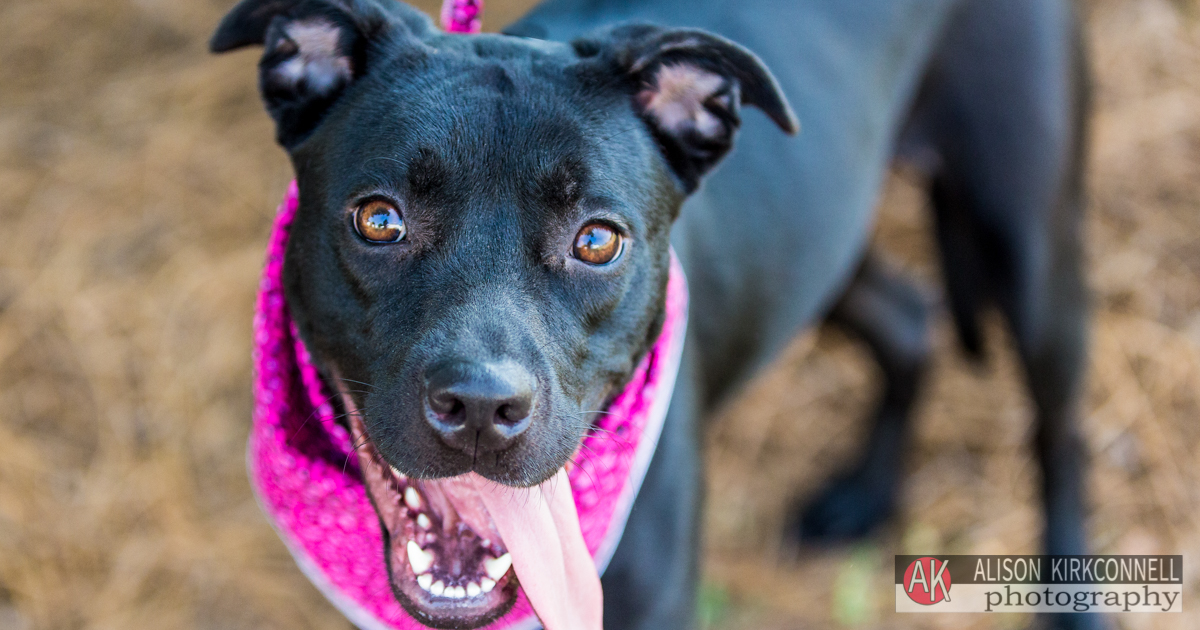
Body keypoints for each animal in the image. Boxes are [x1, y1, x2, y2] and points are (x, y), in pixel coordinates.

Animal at [211, 0, 1094, 624]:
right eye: (379, 220)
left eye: (597, 240)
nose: (481, 408)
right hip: (823, 243)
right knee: (908, 317)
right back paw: (865, 497)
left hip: (1026, 248)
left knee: (1059, 434)